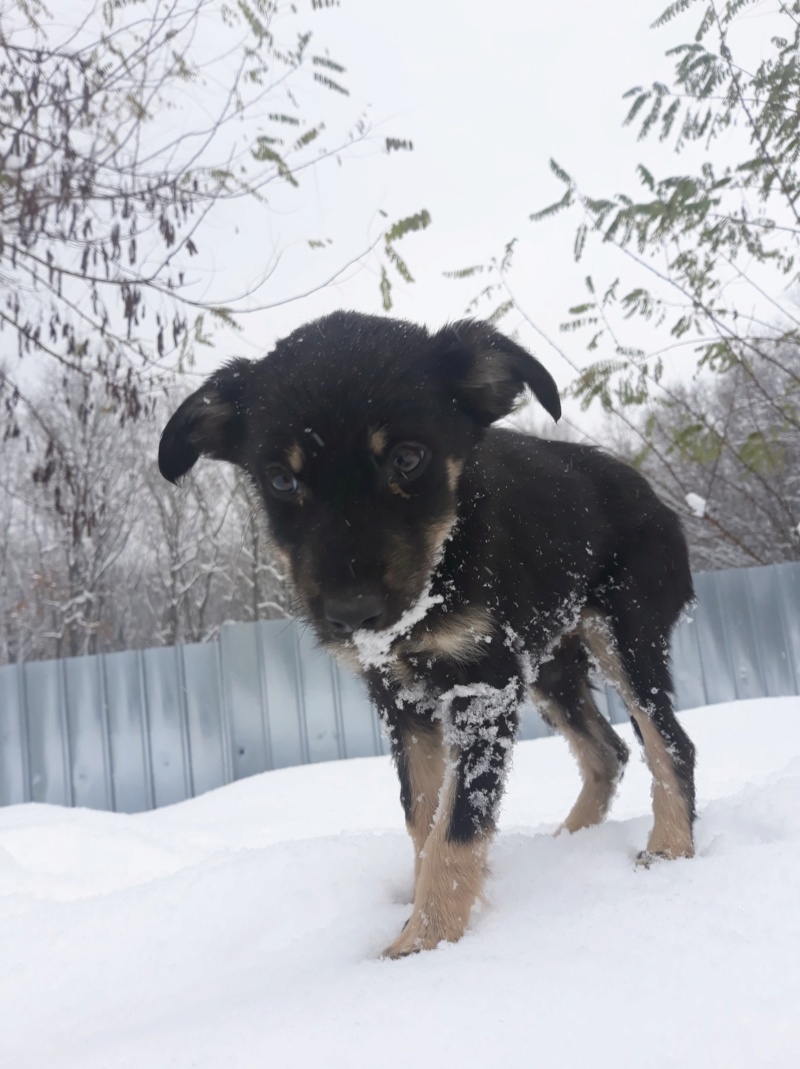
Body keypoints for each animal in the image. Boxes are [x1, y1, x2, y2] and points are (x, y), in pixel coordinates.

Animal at [159, 312, 697, 957]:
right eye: (281, 480)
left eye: (408, 458)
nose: (352, 613)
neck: (446, 562)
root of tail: (654, 497)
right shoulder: (401, 700)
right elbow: (422, 818)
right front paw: (421, 918)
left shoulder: (482, 689)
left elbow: (459, 825)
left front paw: (423, 947)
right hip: (549, 666)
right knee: (607, 751)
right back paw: (568, 847)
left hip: (625, 636)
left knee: (669, 742)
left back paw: (669, 850)